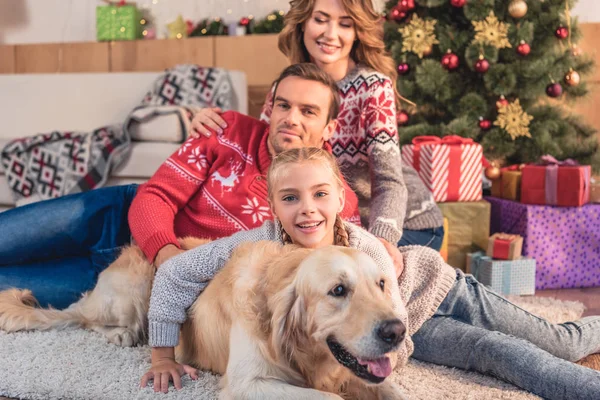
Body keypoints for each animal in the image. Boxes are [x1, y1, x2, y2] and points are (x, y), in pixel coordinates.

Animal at [0, 239, 408, 398]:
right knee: (83, 315)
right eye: (338, 290)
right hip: (133, 289)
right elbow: (331, 398)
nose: (397, 331)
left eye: (381, 284)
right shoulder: (247, 384)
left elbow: (392, 389)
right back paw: (121, 334)